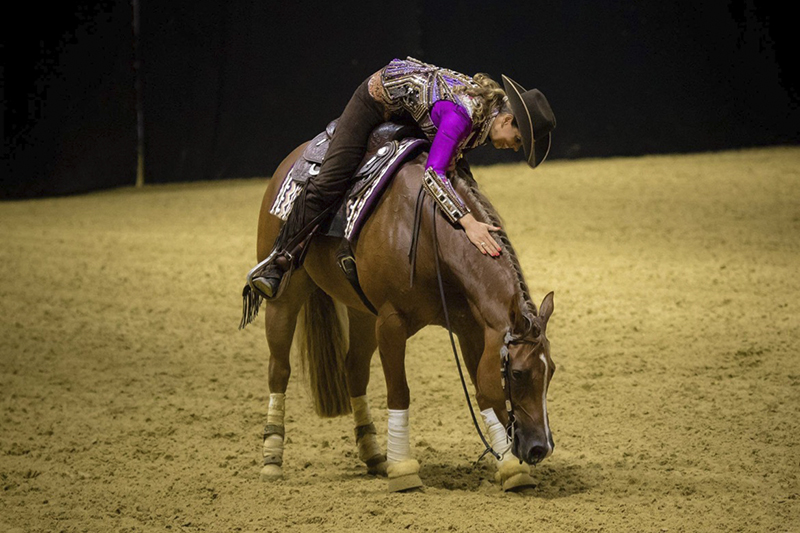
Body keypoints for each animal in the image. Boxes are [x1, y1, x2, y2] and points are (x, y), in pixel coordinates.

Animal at [245, 123, 556, 490]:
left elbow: (484, 392)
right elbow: (399, 392)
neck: (428, 234)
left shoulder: (471, 328)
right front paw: (404, 469)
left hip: (362, 312)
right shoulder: (391, 323)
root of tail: (297, 154)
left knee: (354, 370)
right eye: (518, 373)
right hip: (285, 298)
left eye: (551, 370)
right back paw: (272, 460)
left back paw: (373, 455)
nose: (540, 448)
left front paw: (509, 468)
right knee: (279, 370)